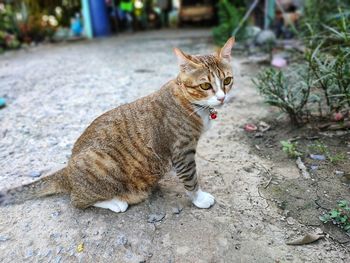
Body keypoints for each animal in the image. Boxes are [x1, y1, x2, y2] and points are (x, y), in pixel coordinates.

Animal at [0, 37, 235, 213]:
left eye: (227, 81)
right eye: (205, 86)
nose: (222, 98)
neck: (191, 103)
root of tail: (66, 171)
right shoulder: (182, 151)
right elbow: (190, 178)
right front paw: (199, 198)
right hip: (101, 164)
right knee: (77, 201)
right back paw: (114, 202)